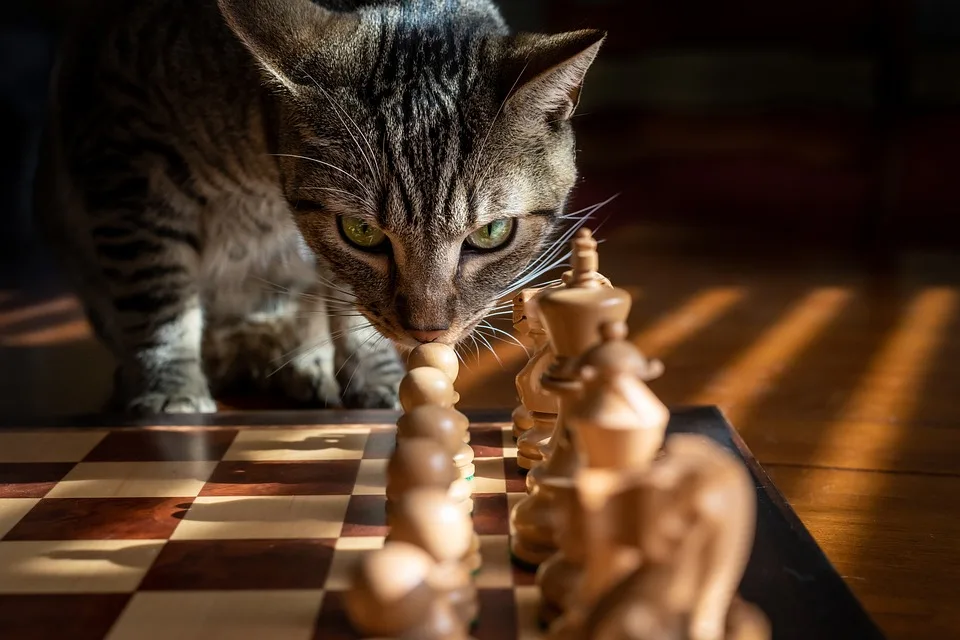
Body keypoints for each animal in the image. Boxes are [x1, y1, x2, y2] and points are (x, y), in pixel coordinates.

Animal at [33, 0, 608, 416]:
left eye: (492, 233)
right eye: (361, 231)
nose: (426, 333)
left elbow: (350, 305)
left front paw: (375, 378)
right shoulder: (125, 151)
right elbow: (159, 299)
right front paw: (169, 389)